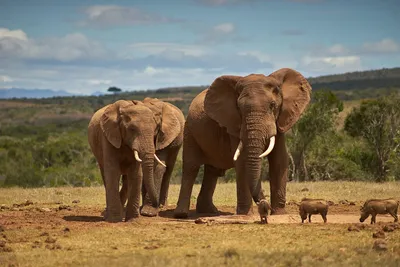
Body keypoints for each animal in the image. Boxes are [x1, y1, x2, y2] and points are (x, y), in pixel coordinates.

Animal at [173, 68, 310, 219]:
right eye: (239, 108)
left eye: (273, 106)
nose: (264, 205)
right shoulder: (234, 124)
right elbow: (242, 160)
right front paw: (245, 214)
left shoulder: (280, 122)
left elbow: (279, 160)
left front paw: (279, 213)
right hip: (189, 130)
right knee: (191, 167)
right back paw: (181, 214)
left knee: (212, 171)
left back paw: (210, 211)